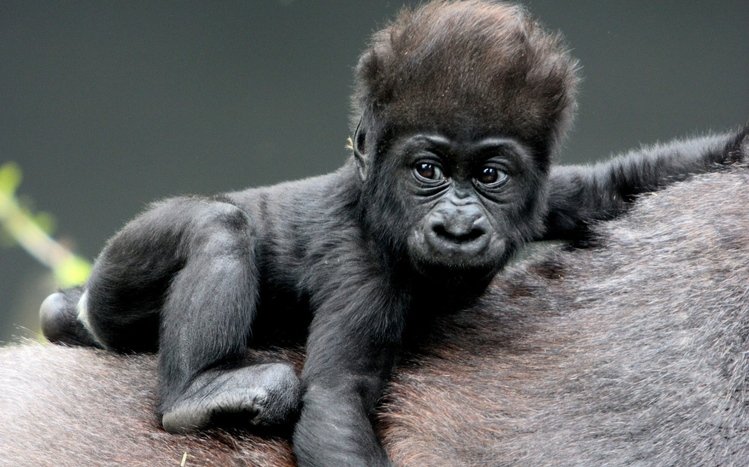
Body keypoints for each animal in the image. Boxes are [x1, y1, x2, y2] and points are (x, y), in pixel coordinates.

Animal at [37, 1, 748, 465]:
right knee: (217, 227)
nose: (458, 226)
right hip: (127, 261)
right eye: (426, 171)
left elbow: (613, 183)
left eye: (490, 176)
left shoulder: (549, 198)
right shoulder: (365, 276)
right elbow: (333, 404)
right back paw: (194, 393)